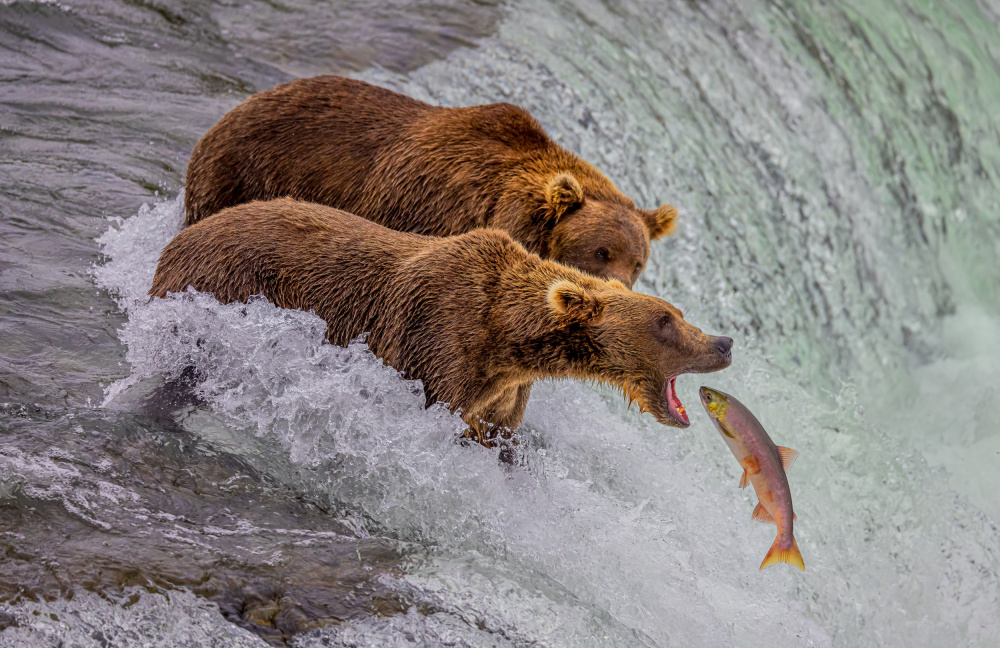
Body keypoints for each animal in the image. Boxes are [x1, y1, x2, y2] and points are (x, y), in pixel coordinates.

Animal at [151, 199, 732, 444]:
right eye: (665, 320)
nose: (724, 342)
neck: (510, 341)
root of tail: (183, 235)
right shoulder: (437, 343)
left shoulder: (502, 391)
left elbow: (499, 435)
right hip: (218, 289)